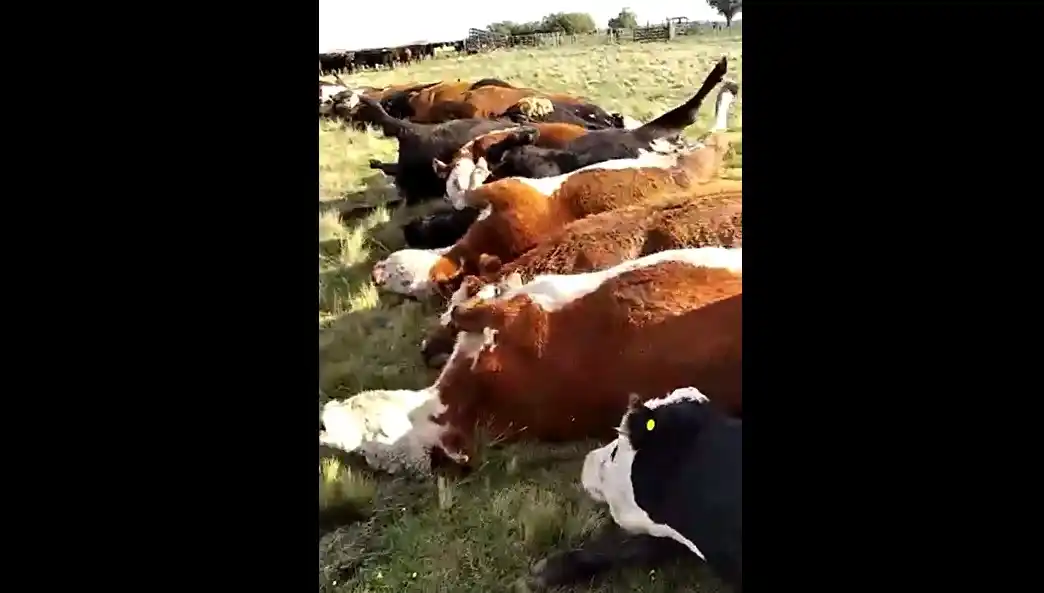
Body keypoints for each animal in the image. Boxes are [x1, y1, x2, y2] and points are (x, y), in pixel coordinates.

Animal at [371, 136, 736, 298]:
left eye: (400, 274)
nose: (376, 274)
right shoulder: (509, 193)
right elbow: (466, 191)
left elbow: (466, 190)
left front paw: (476, 163)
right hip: (690, 164)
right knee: (710, 143)